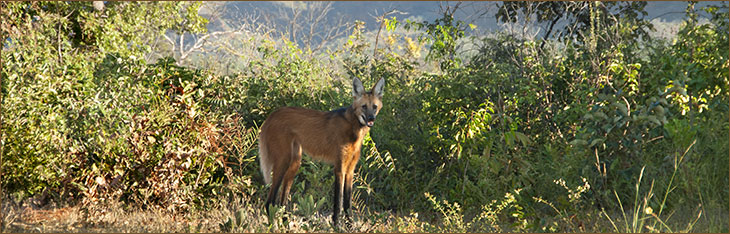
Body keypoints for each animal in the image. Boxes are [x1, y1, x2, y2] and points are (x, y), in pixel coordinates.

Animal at [258, 77, 384, 227]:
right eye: (364, 106)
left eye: (374, 107)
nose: (371, 118)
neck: (354, 129)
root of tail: (271, 115)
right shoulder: (339, 168)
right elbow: (338, 202)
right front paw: (337, 226)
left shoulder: (350, 170)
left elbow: (347, 203)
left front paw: (350, 226)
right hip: (283, 161)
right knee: (270, 202)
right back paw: (273, 226)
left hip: (295, 163)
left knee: (282, 202)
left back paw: (286, 225)